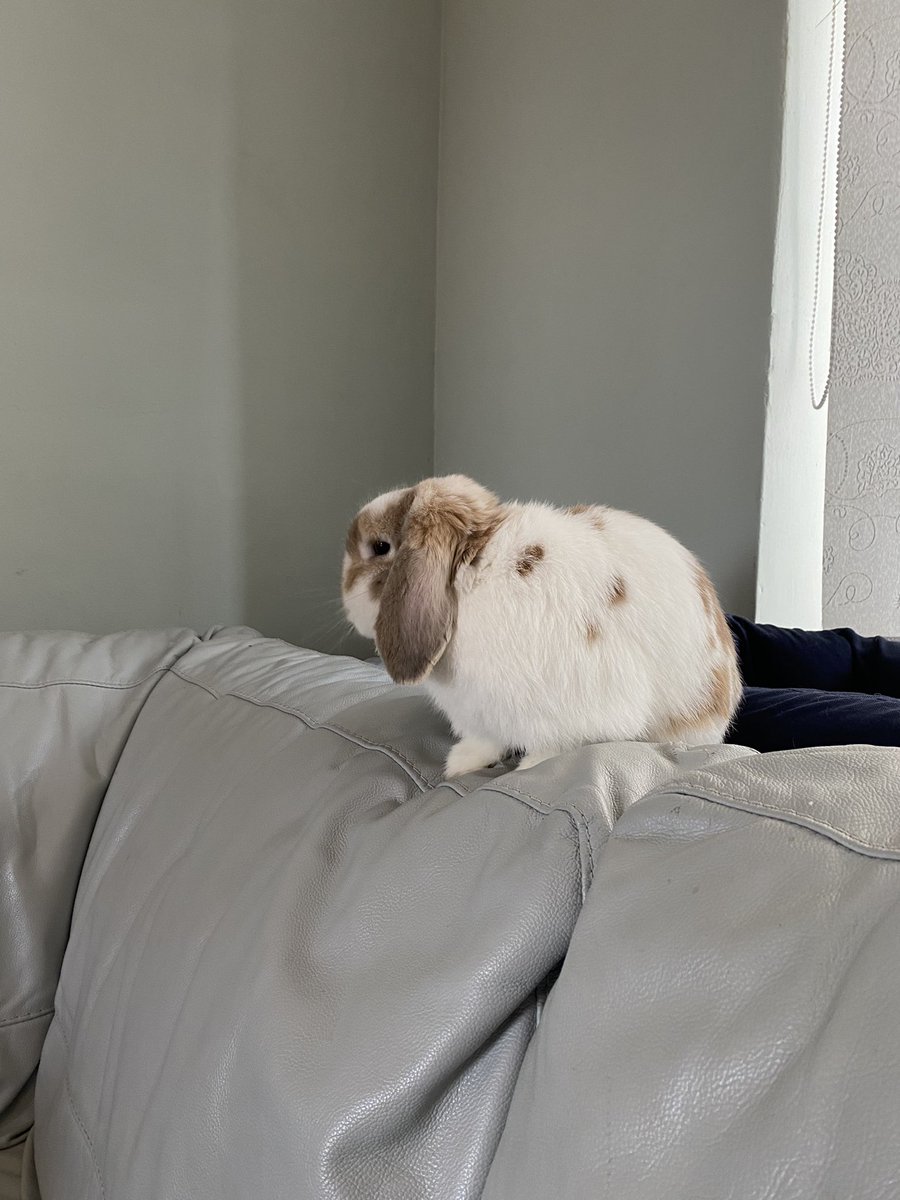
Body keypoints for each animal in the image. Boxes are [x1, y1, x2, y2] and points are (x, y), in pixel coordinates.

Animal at [342, 474, 742, 778]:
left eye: (380, 547)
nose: (344, 592)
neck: (473, 571)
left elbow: (557, 744)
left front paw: (530, 767)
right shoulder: (483, 714)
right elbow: (486, 740)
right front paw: (460, 764)